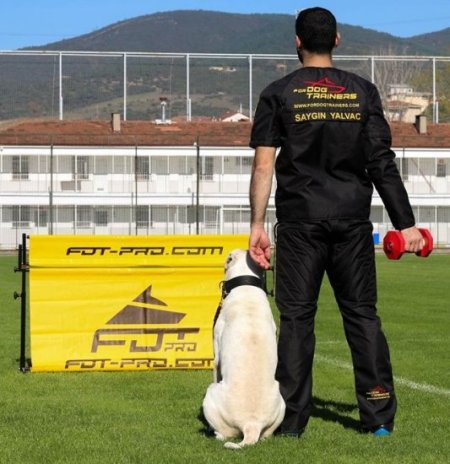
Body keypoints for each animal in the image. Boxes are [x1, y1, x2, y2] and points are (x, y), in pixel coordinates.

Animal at [201, 250, 284, 450]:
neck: (246, 286)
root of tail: (251, 425)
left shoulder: (216, 356)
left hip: (210, 396)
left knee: (222, 434)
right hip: (281, 402)